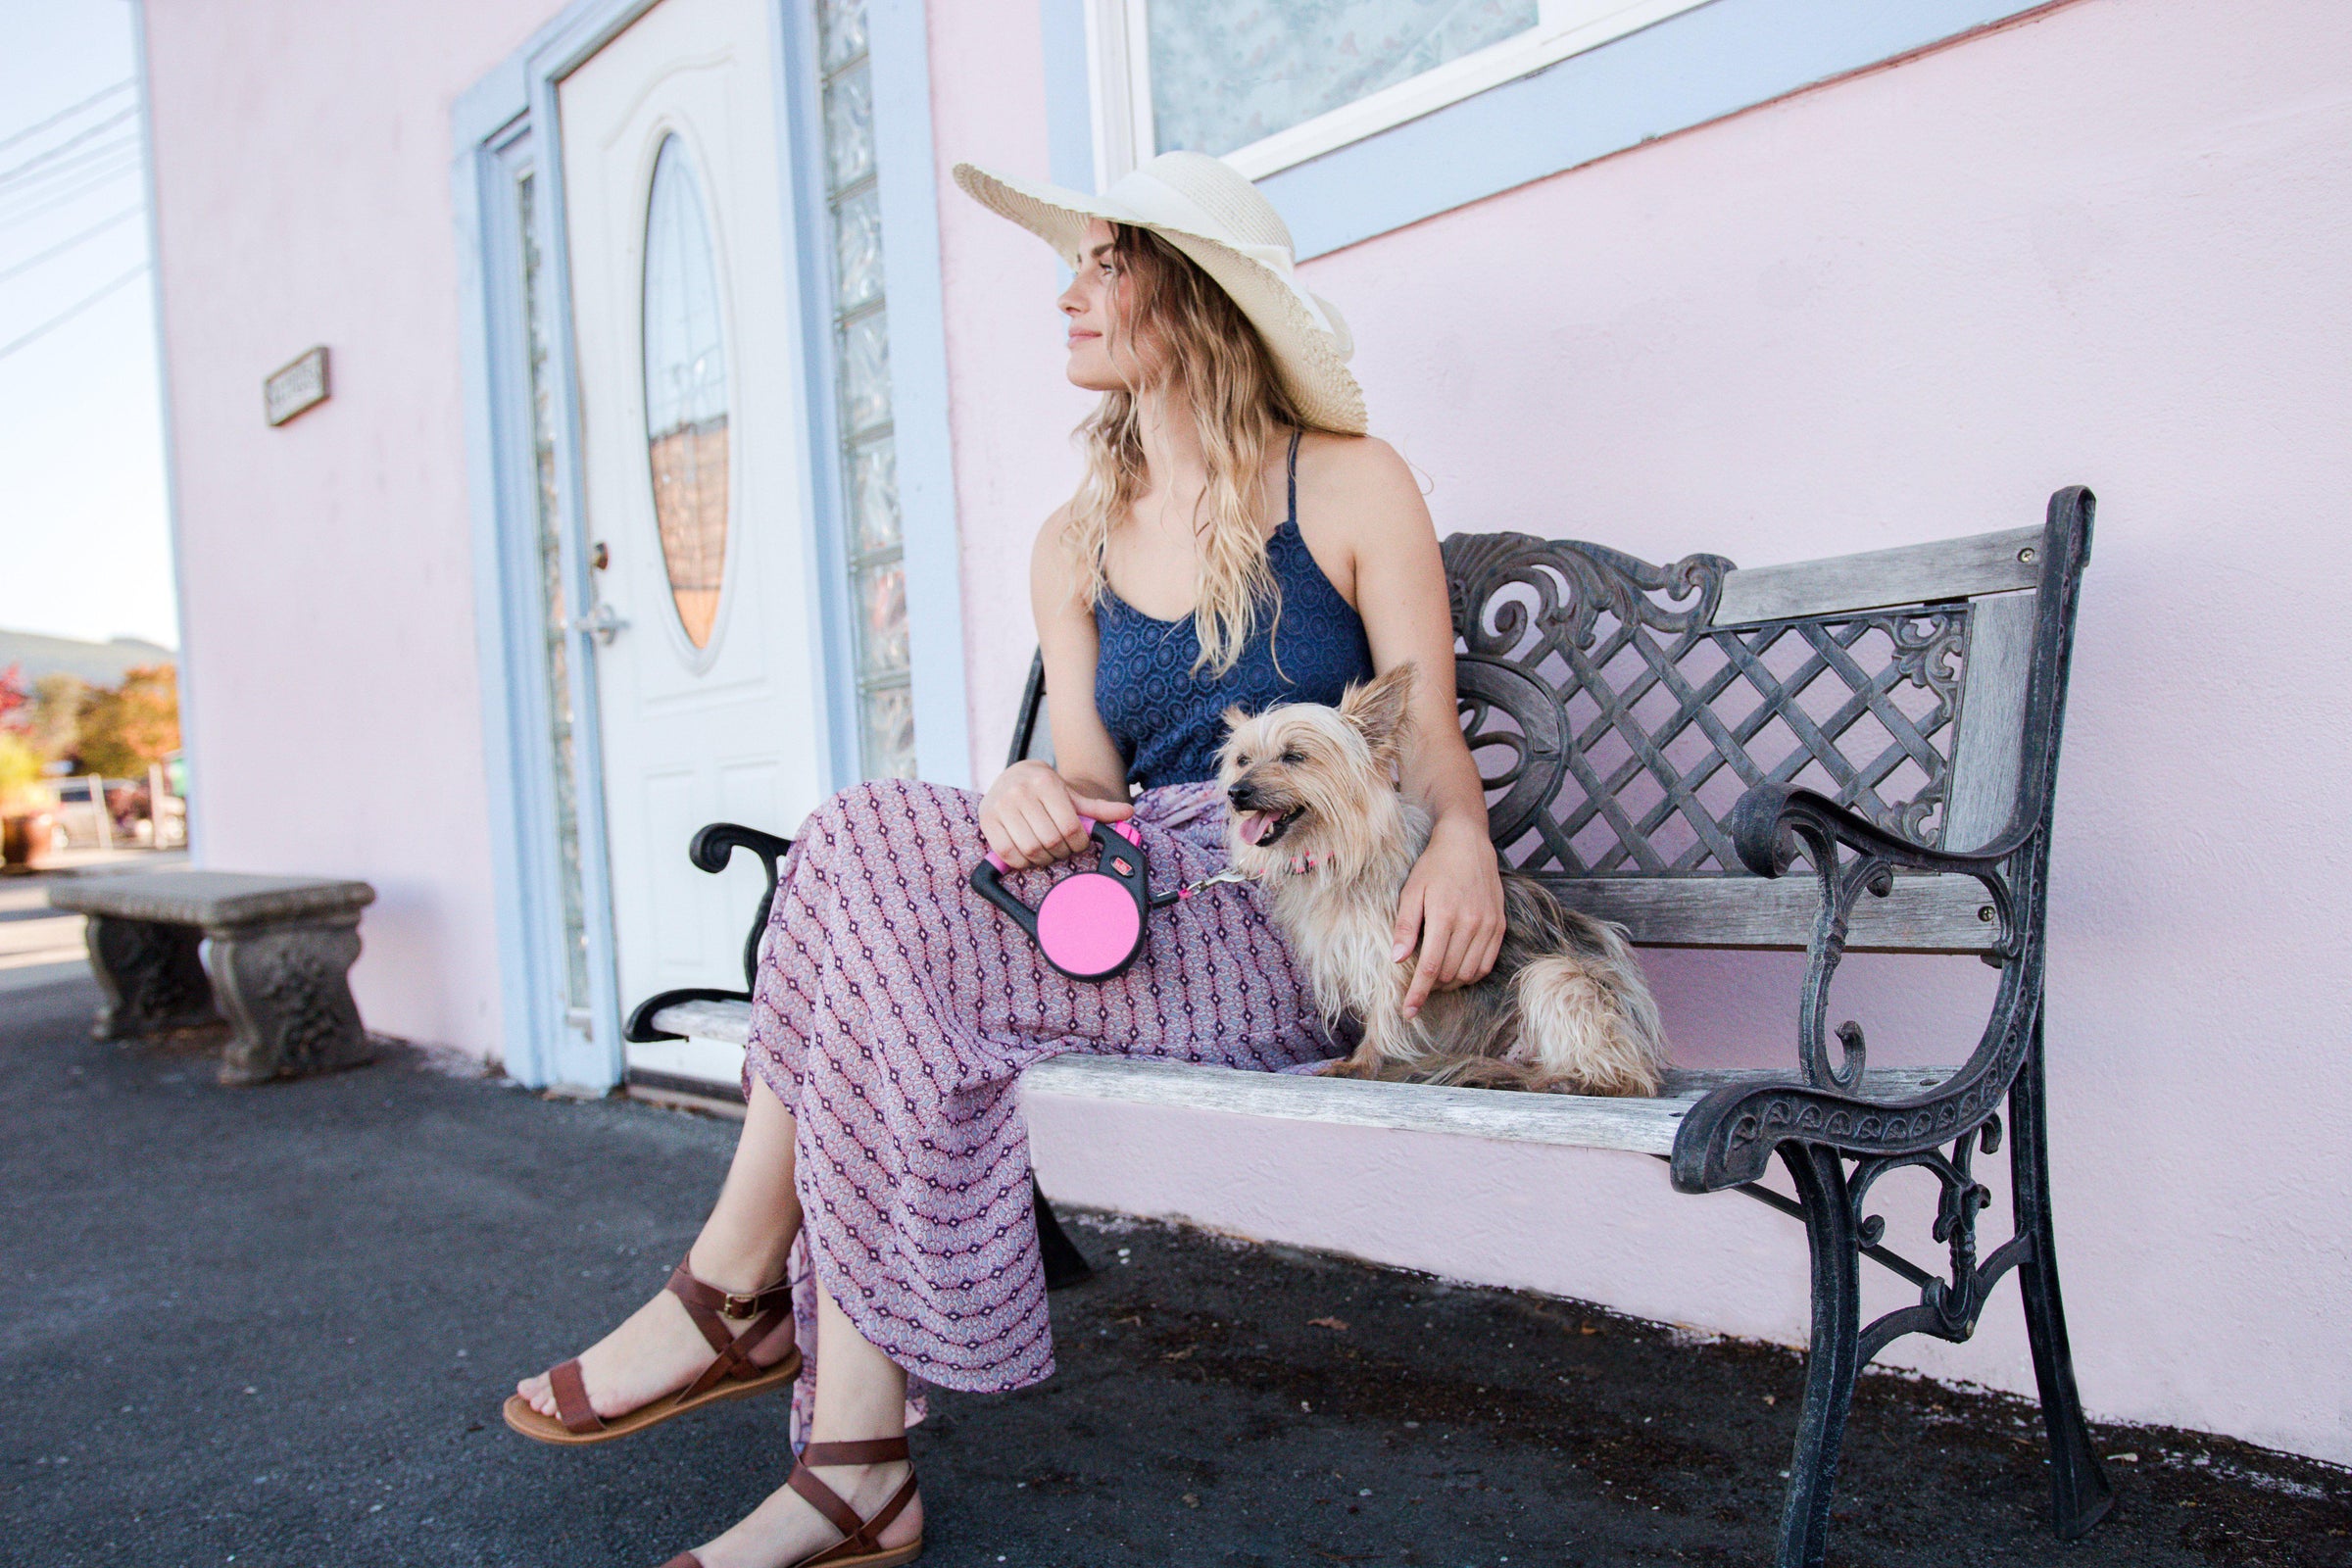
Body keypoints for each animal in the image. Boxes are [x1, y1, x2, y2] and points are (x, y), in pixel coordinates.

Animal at [1213, 667, 1674, 1100]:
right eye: (1242, 760)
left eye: (1294, 756)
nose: (1237, 792)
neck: (1340, 850)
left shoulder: (1395, 954)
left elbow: (1385, 1013)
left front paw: (1362, 1064)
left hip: (1558, 976)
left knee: (1610, 1076)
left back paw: (1544, 1079)